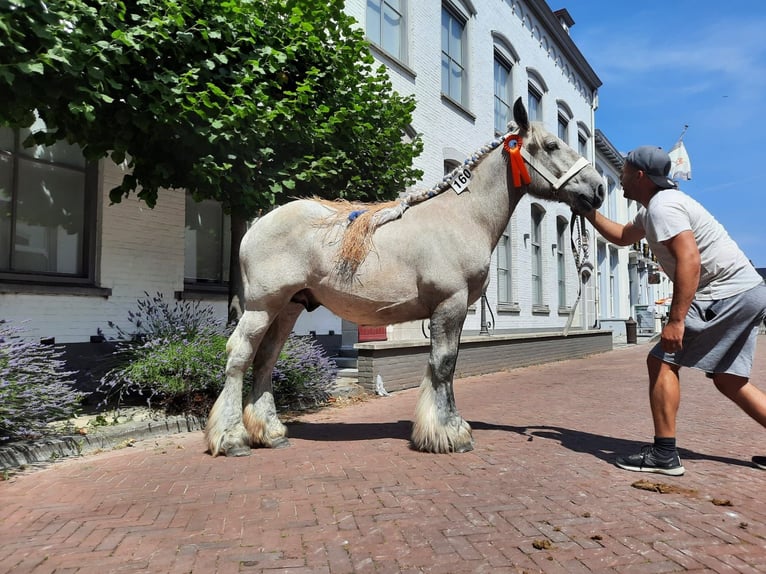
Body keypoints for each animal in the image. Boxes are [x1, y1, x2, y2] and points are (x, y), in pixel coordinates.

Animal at [204, 100, 608, 460]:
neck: (462, 216)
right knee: (239, 355)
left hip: (289, 307)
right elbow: (443, 364)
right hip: (262, 306)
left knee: (266, 359)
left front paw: (444, 428)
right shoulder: (450, 303)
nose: (598, 188)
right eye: (552, 145)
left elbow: (447, 365)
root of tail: (256, 224)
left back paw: (271, 433)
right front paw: (448, 434)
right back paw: (232, 438)